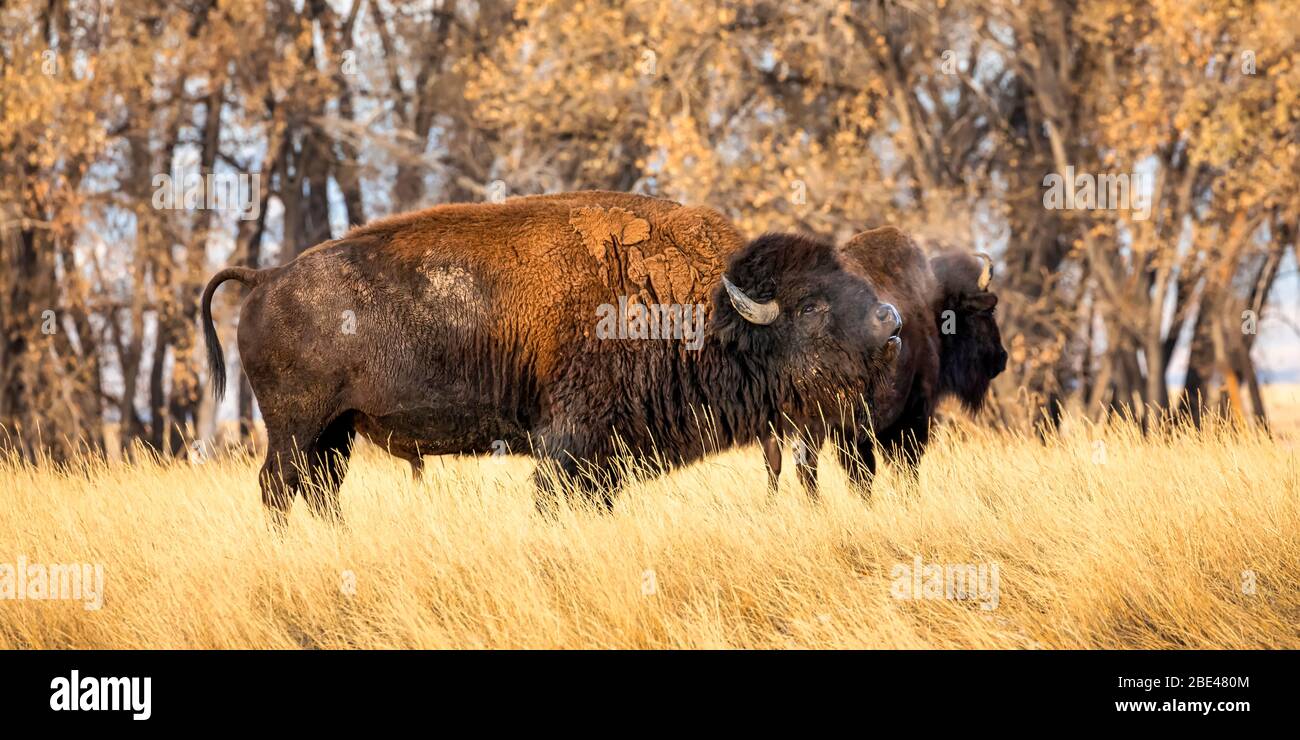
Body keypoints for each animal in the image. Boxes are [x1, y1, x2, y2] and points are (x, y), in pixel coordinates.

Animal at [201, 192, 902, 525]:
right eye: (809, 306)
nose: (890, 321)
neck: (704, 308)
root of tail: (266, 277)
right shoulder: (568, 441)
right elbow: (554, 495)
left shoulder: (603, 455)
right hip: (297, 428)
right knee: (277, 488)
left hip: (337, 433)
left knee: (318, 491)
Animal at [760, 226, 1008, 496]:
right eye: (988, 312)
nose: (1001, 358)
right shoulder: (910, 412)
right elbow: (899, 465)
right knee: (806, 466)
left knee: (778, 465)